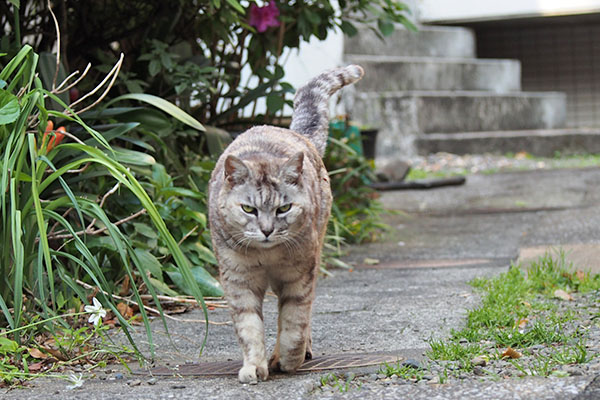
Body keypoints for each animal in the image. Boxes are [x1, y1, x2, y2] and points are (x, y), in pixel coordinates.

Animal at [209, 65, 364, 384]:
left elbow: (294, 321)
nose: (267, 230)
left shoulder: (299, 275)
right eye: (248, 209)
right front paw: (254, 366)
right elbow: (250, 328)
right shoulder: (238, 280)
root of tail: (290, 130)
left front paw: (290, 359)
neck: (267, 256)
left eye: (284, 208)